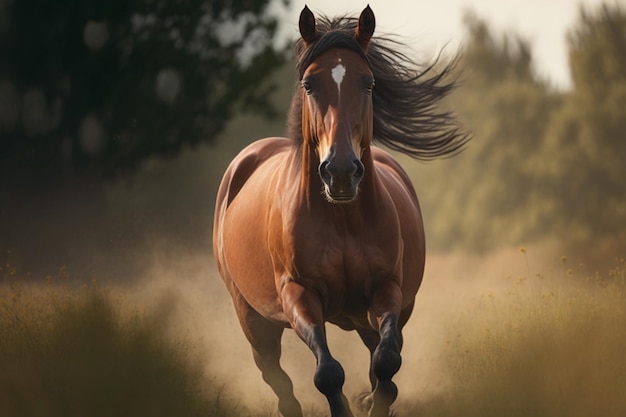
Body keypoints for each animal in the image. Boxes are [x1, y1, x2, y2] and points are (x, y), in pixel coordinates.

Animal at [212, 5, 466, 416]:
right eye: (309, 84)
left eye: (369, 83)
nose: (342, 172)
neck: (342, 219)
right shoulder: (298, 293)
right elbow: (328, 373)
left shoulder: (386, 289)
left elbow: (386, 362)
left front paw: (374, 402)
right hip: (253, 319)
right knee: (275, 377)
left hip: (369, 315)